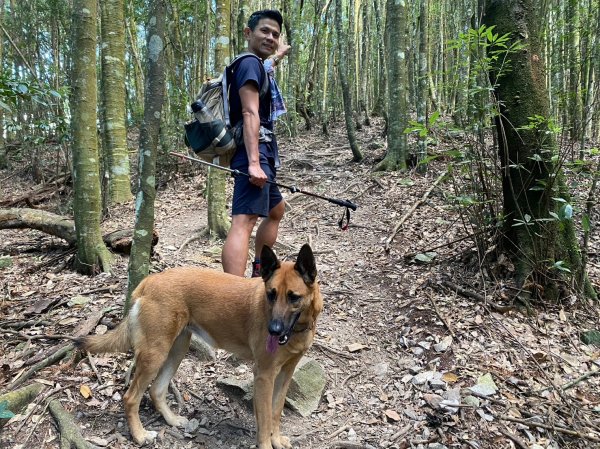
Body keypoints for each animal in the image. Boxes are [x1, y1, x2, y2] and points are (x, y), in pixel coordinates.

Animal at [78, 245, 324, 448]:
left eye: (293, 297)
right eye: (271, 295)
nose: (273, 330)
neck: (298, 328)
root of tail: (149, 281)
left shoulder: (285, 373)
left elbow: (276, 412)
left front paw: (277, 439)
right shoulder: (264, 376)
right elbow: (263, 422)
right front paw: (267, 443)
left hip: (177, 350)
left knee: (157, 390)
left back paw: (172, 420)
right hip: (155, 355)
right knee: (131, 398)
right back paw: (140, 435)